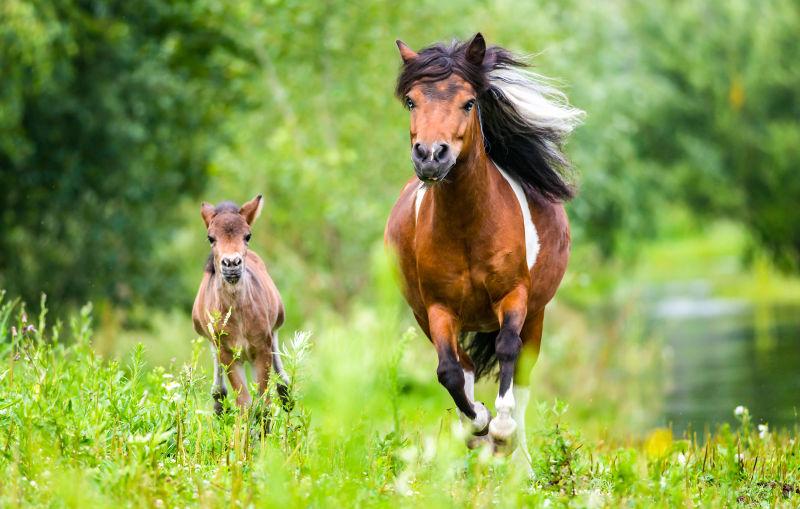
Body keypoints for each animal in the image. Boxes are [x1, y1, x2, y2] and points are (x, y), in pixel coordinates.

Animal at [191, 194, 290, 412]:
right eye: (211, 238)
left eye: (248, 236)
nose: (231, 264)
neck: (238, 316)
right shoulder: (228, 354)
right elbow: (244, 403)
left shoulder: (261, 349)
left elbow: (263, 402)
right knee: (218, 388)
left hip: (277, 319)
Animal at [386, 33, 580, 458]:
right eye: (411, 101)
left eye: (469, 102)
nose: (430, 155)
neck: (467, 229)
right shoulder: (438, 309)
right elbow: (449, 372)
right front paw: (479, 422)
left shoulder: (515, 297)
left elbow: (507, 349)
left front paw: (501, 428)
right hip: (426, 316)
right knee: (464, 367)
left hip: (537, 314)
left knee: (521, 372)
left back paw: (515, 455)